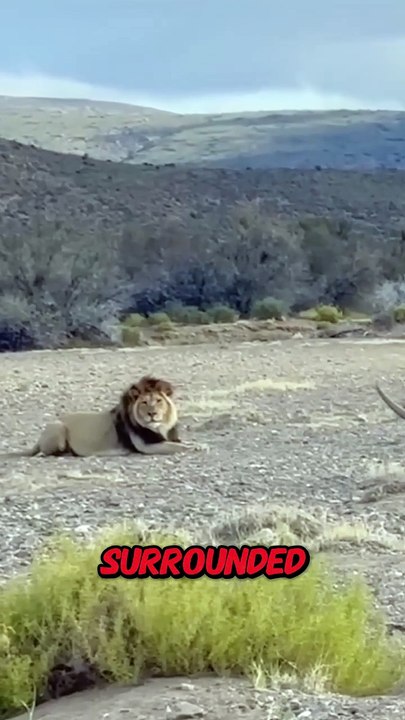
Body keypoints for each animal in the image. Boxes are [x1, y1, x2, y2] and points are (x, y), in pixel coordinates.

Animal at [5, 375, 194, 458]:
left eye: (158, 401)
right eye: (144, 403)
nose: (152, 414)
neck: (160, 426)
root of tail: (39, 439)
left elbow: (179, 442)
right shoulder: (146, 447)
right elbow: (177, 446)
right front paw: (195, 447)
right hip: (58, 427)